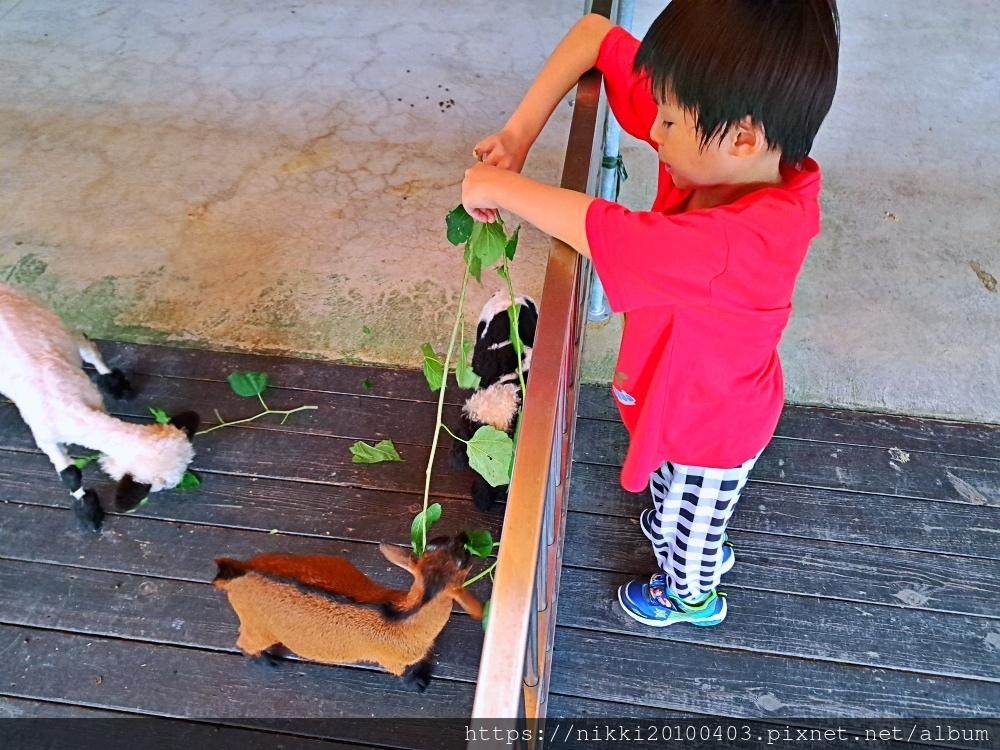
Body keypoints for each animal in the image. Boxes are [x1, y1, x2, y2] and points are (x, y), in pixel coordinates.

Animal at [0, 282, 199, 536]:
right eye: (162, 485)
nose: (175, 485)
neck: (65, 406)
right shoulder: (44, 436)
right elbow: (70, 475)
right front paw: (88, 513)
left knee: (88, 349)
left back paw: (115, 383)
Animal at [213, 536, 482, 692]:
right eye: (464, 562)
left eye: (434, 545)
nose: (463, 536)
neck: (404, 616)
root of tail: (237, 574)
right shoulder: (392, 660)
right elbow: (406, 675)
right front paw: (419, 684)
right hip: (257, 627)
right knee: (245, 644)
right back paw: (268, 662)